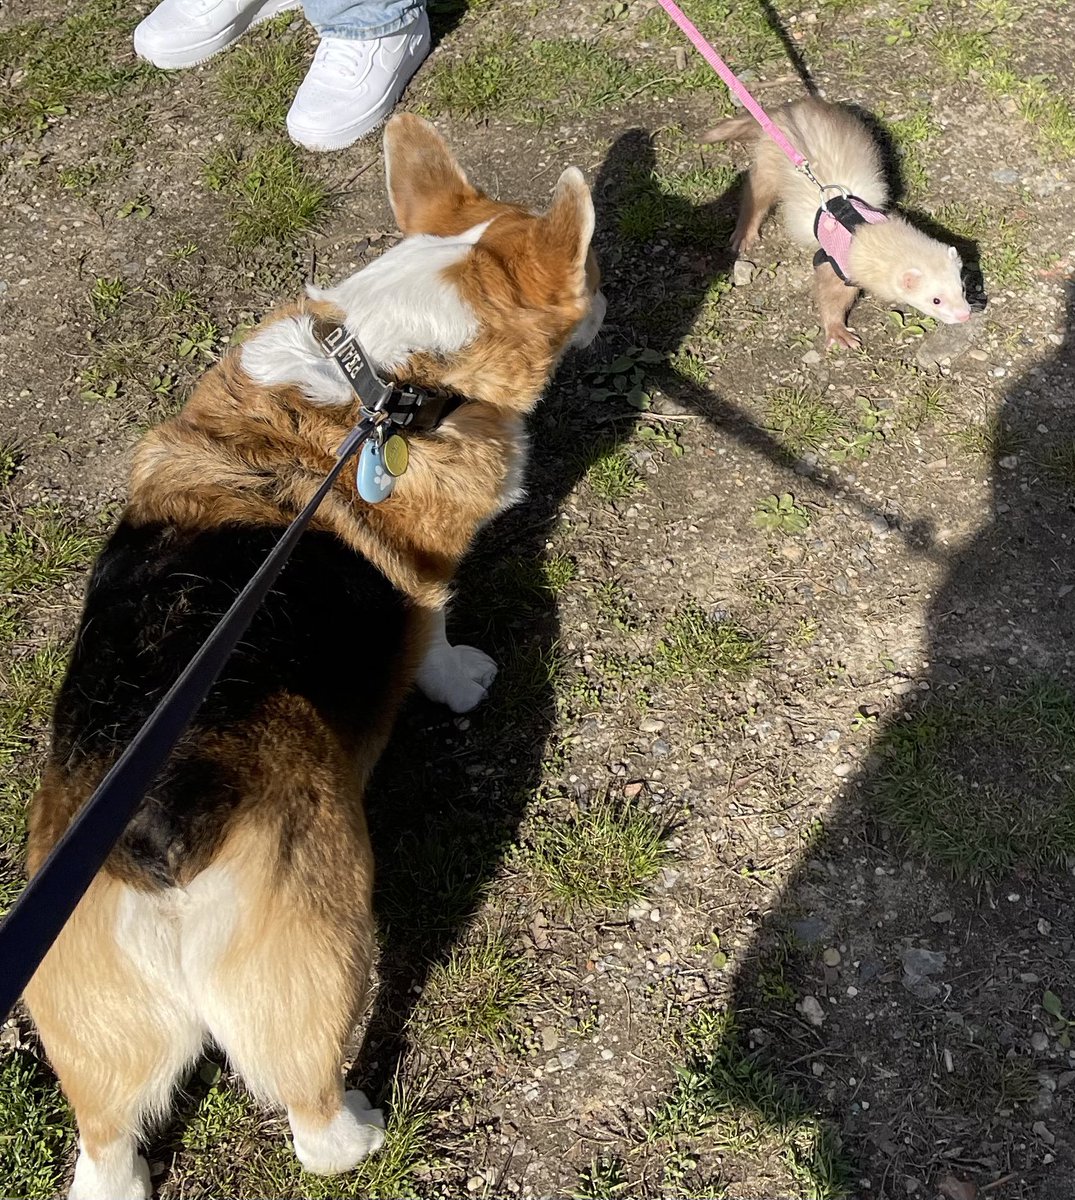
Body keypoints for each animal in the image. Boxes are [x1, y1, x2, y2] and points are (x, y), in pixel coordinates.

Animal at [23, 114, 604, 1200]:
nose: (606, 309)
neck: (385, 374)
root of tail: (157, 838)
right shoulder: (426, 586)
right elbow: (438, 641)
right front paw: (464, 681)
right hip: (318, 950)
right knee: (309, 1113)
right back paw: (361, 1129)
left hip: (86, 1010)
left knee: (107, 1143)